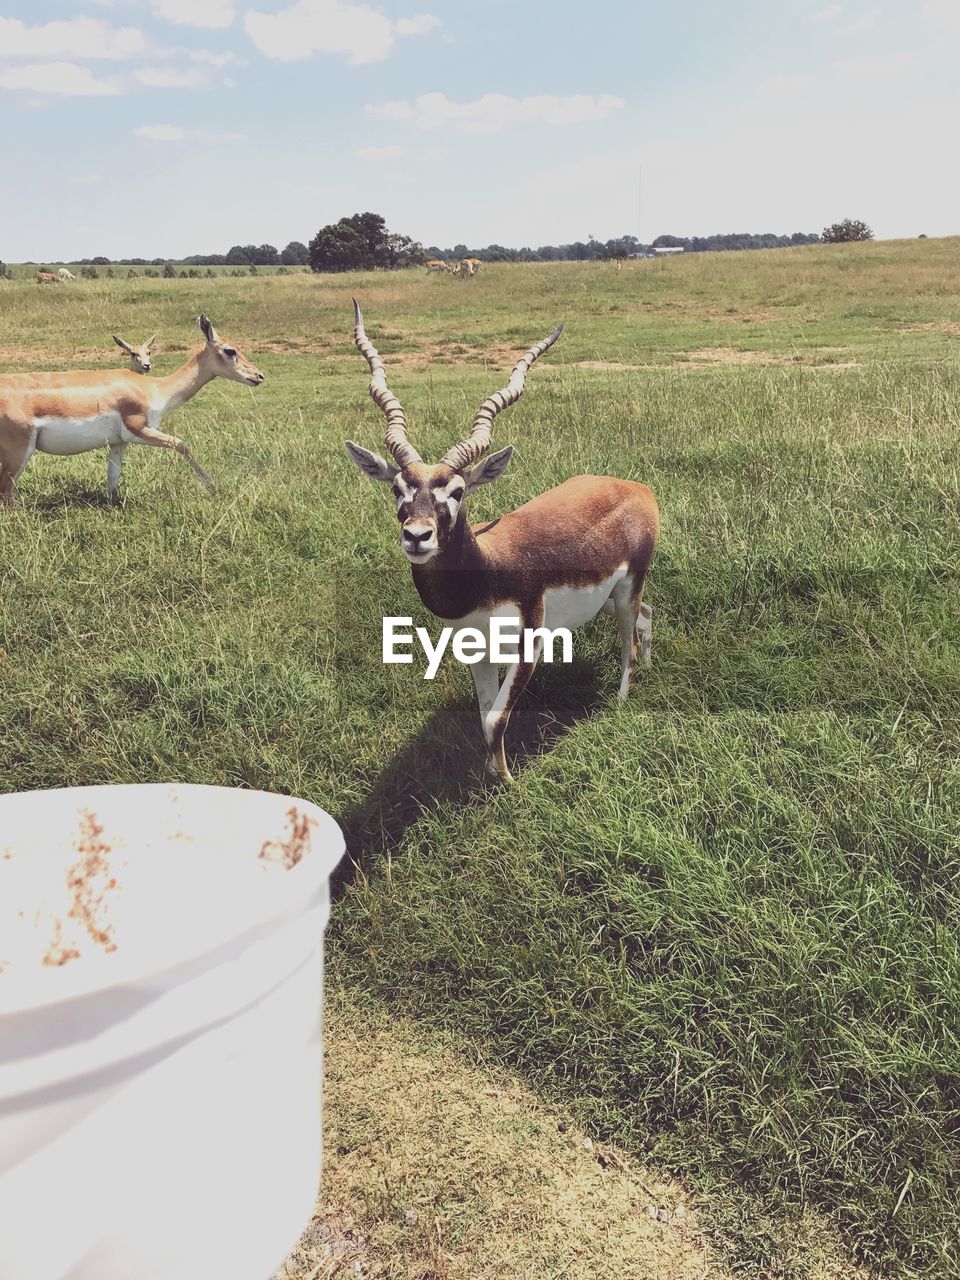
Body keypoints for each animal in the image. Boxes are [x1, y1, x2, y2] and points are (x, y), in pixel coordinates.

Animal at [0, 314, 264, 504]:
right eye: (230, 350)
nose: (258, 376)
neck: (154, 388)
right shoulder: (139, 429)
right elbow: (181, 444)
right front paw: (213, 487)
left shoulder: (119, 443)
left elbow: (112, 479)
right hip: (19, 453)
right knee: (6, 494)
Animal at [345, 302, 660, 778]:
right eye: (398, 489)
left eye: (457, 492)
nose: (417, 536)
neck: (485, 577)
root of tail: (637, 488)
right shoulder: (475, 650)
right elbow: (482, 715)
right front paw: (492, 774)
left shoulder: (530, 642)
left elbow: (497, 719)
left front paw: (508, 783)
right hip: (606, 599)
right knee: (646, 617)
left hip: (626, 588)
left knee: (631, 641)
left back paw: (622, 700)